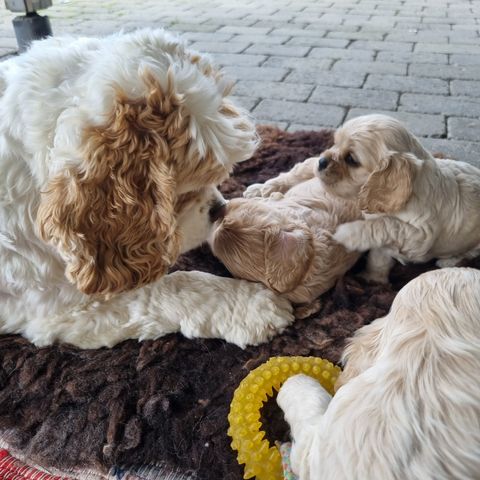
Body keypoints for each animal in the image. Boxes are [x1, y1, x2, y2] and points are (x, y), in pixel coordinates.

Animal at [316, 114, 480, 284]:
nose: (321, 161)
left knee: (470, 253)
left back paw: (449, 261)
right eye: (335, 143)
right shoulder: (386, 245)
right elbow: (378, 258)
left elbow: (387, 224)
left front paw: (348, 233)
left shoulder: (419, 237)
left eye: (351, 159)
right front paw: (372, 279)